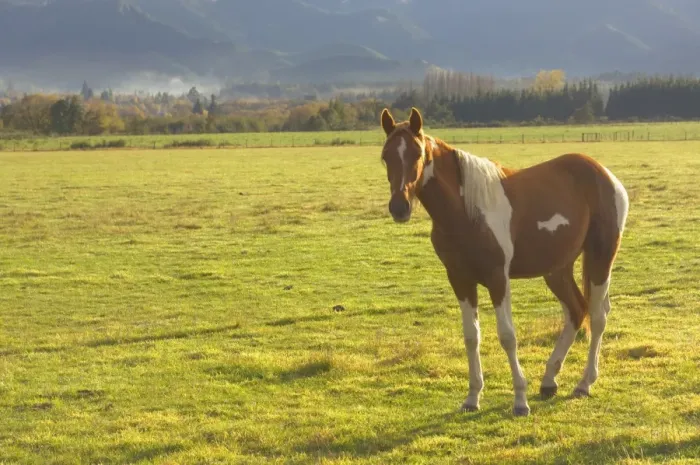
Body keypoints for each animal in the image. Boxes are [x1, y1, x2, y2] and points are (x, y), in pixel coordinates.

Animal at [378, 107, 629, 416]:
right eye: (385, 155)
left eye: (417, 153)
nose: (399, 208)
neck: (466, 211)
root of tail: (605, 175)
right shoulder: (460, 279)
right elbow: (471, 336)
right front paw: (472, 397)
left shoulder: (498, 278)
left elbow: (507, 336)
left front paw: (520, 401)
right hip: (557, 269)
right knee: (576, 310)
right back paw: (549, 380)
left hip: (600, 258)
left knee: (597, 315)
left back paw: (584, 384)